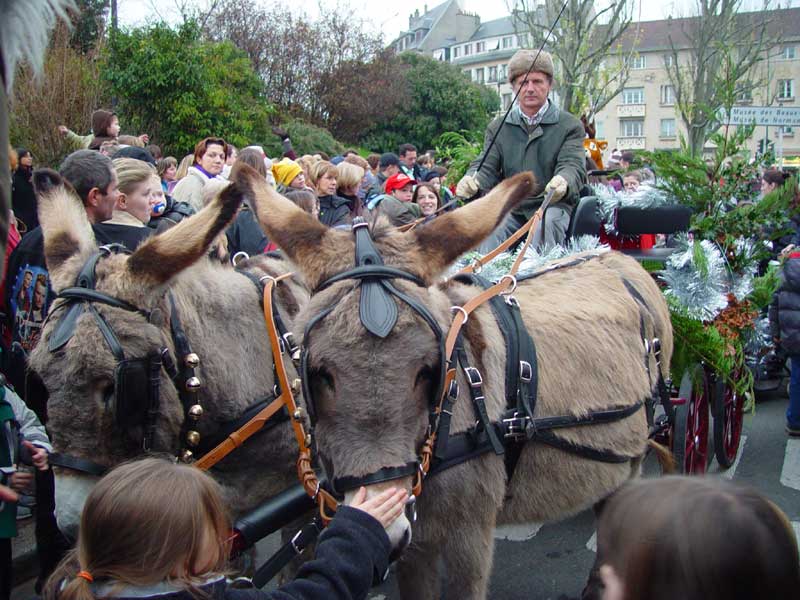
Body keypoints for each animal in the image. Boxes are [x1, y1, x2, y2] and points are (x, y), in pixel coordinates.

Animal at [231, 165, 673, 600]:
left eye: (428, 369)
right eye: (319, 371)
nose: (386, 526)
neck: (447, 418)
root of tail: (619, 260)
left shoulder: (470, 533)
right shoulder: (417, 541)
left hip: (632, 456)